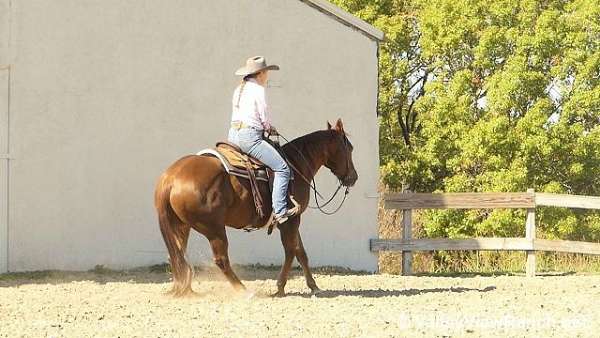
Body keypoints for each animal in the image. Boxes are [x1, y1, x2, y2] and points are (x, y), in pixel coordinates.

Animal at [155, 118, 356, 296]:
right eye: (350, 148)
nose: (353, 177)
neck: (296, 166)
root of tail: (170, 178)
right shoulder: (290, 219)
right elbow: (291, 250)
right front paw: (280, 287)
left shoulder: (290, 221)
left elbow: (301, 252)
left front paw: (313, 286)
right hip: (213, 229)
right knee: (221, 260)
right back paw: (243, 291)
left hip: (181, 226)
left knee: (177, 255)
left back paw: (185, 289)